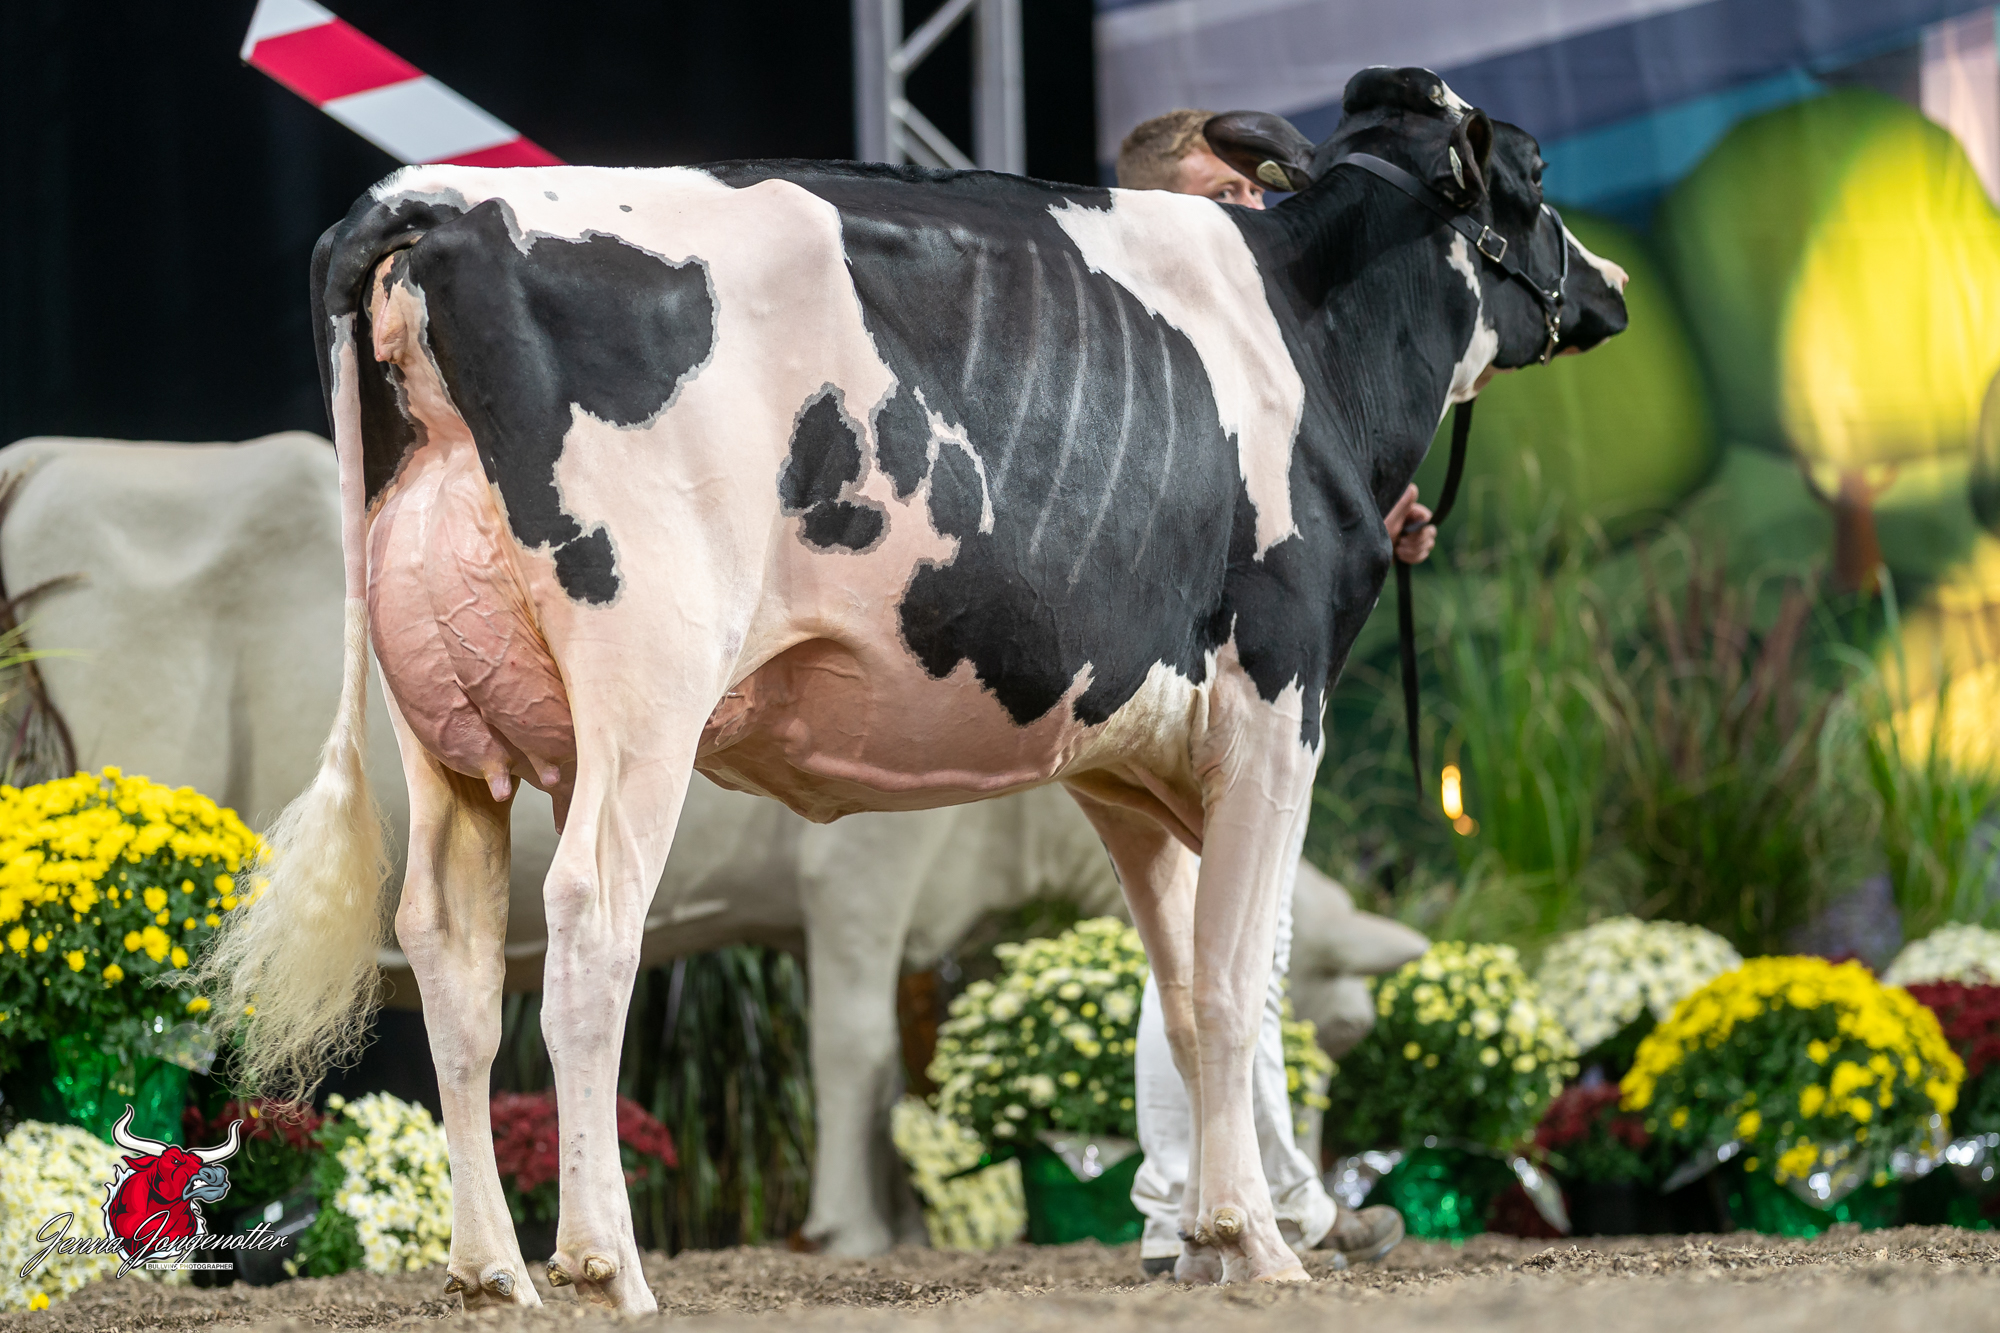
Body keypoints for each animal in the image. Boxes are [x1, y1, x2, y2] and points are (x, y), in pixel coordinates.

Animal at [200, 65, 1626, 1307]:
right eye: (1534, 173)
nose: (1607, 284)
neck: (1313, 333)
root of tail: (433, 200)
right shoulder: (1280, 710)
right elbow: (1231, 987)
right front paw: (1264, 1247)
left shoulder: (1129, 760)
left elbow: (1175, 993)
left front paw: (1215, 1234)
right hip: (645, 682)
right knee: (592, 925)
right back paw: (607, 1265)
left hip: (442, 718)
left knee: (450, 947)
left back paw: (489, 1268)